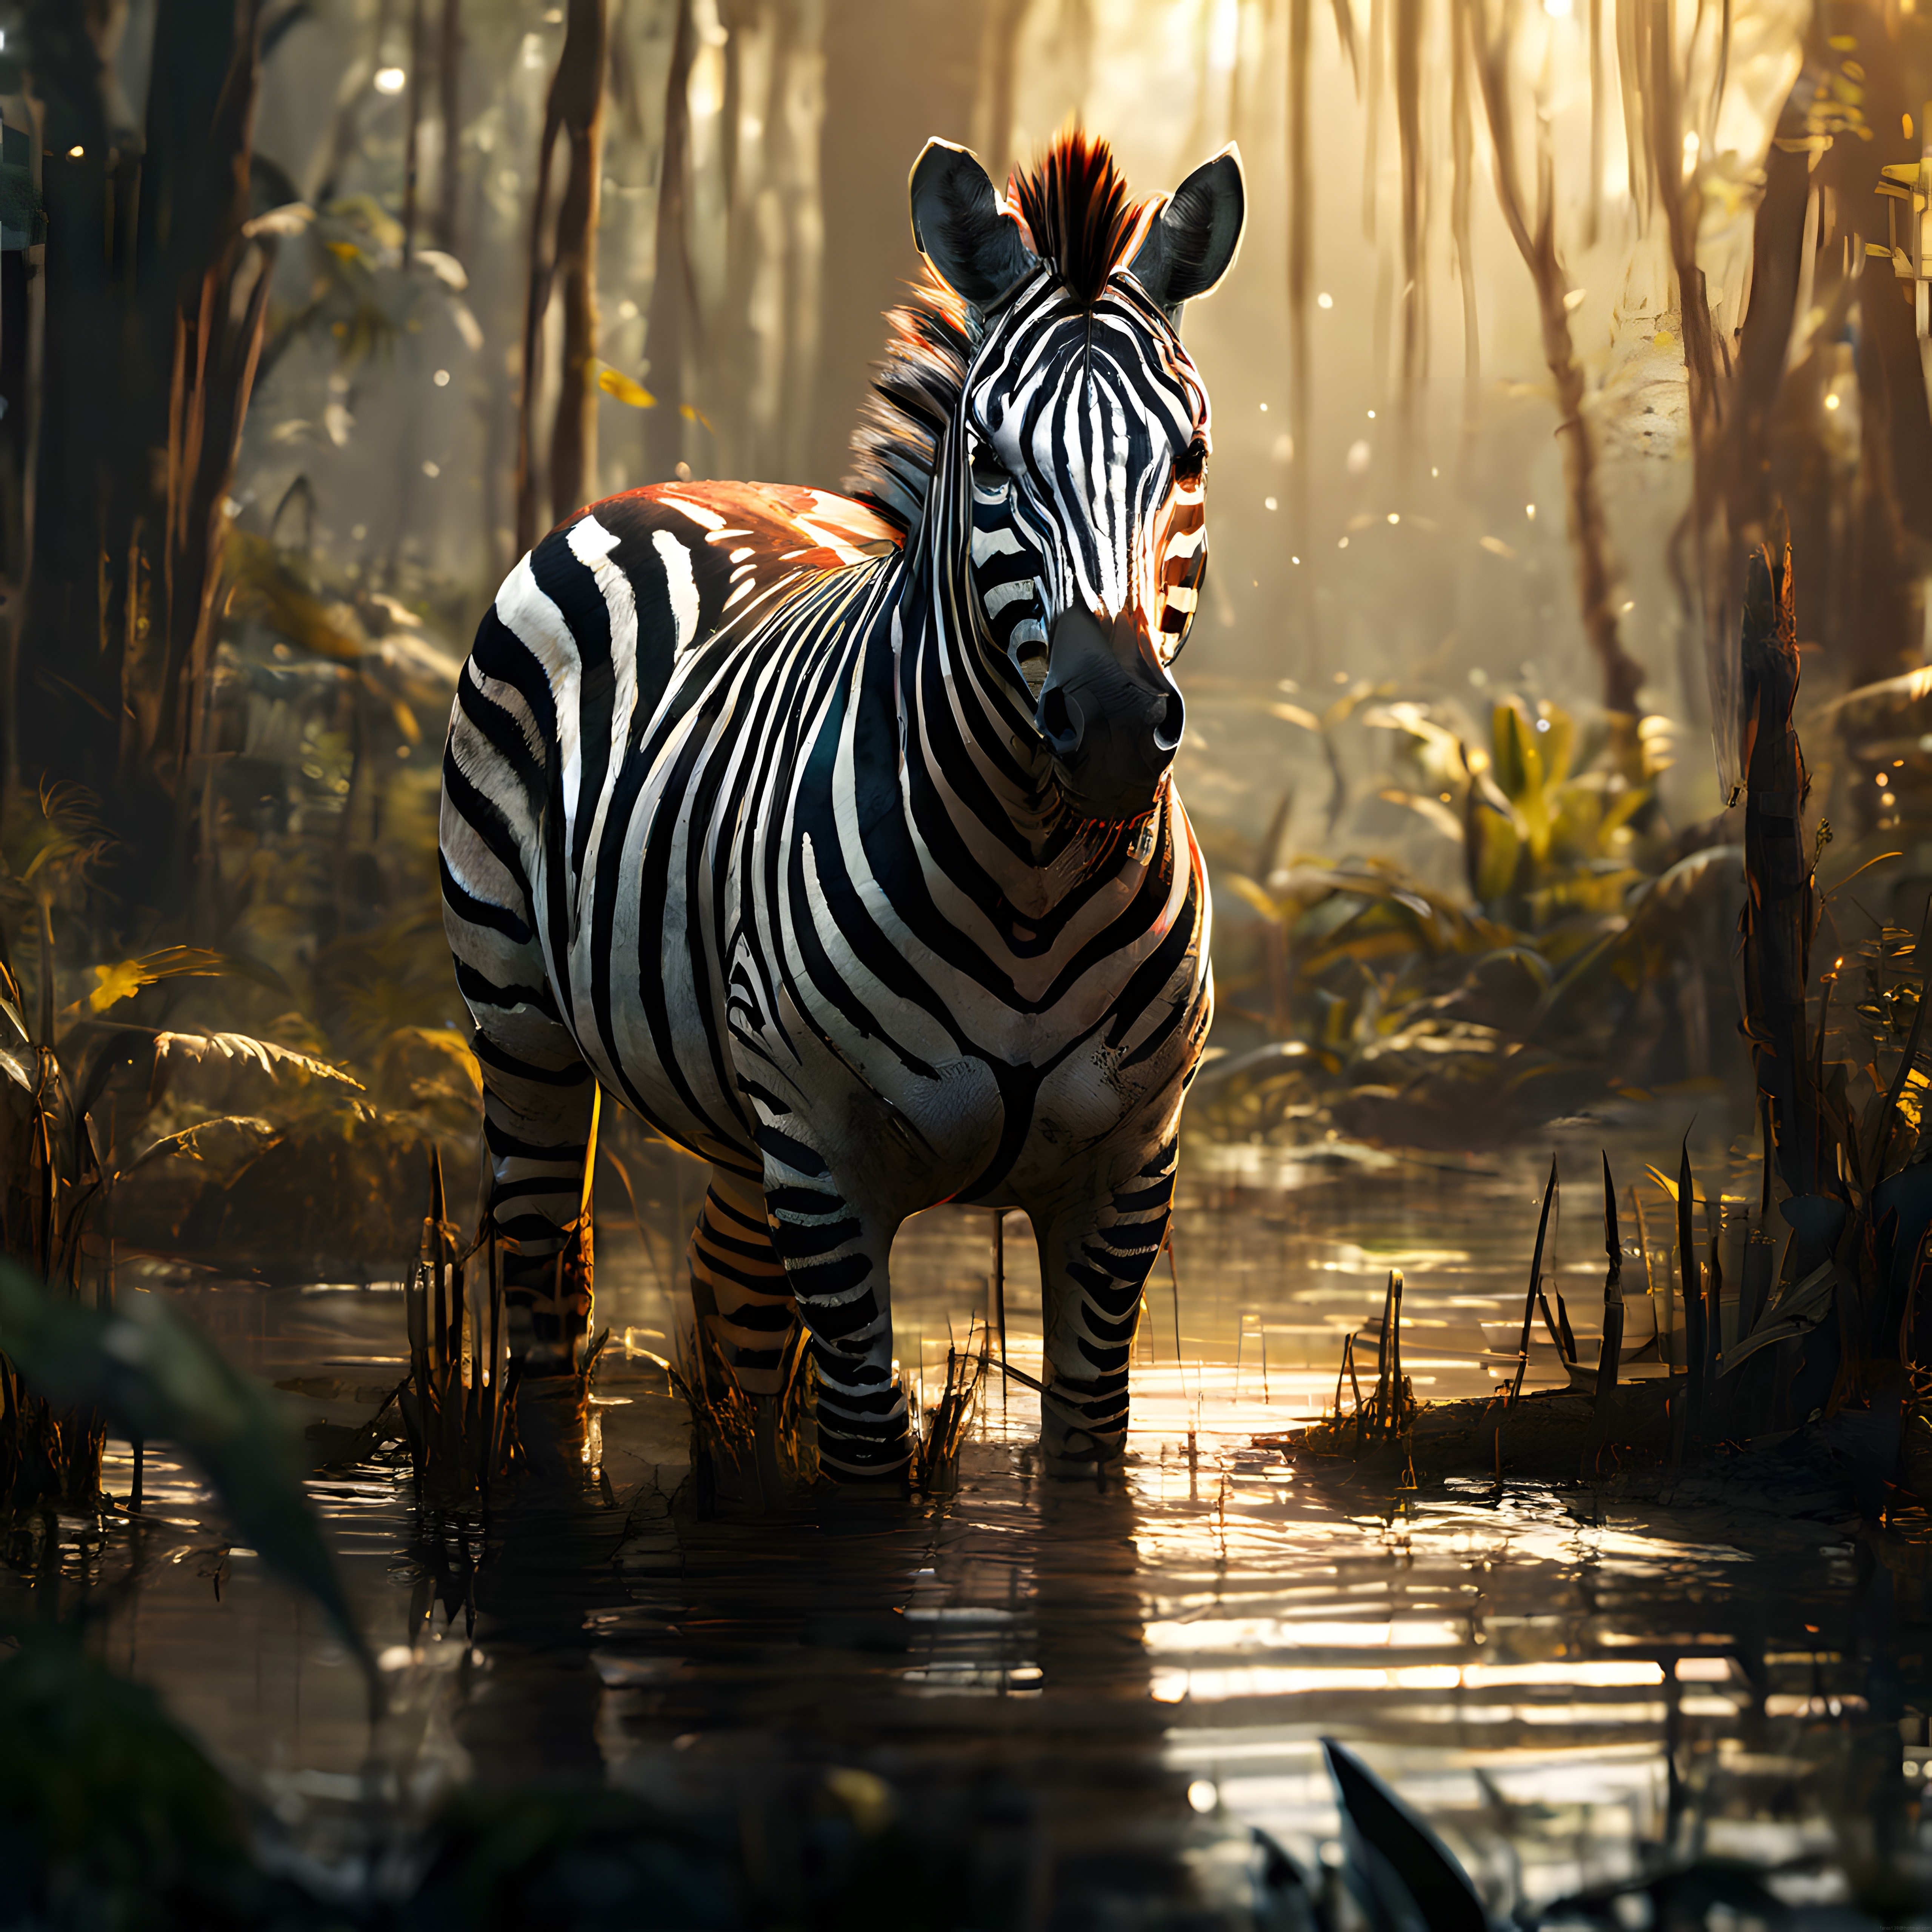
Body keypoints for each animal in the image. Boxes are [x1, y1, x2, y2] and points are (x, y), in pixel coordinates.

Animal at [440, 128, 1243, 1479]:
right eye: (990, 460)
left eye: (1186, 458)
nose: (1114, 727)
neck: (1034, 874)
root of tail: (676, 485)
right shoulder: (825, 1159)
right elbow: (864, 1454)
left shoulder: (1127, 1171)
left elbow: (1086, 1455)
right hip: (523, 1023)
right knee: (548, 1293)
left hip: (737, 1122)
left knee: (729, 1317)